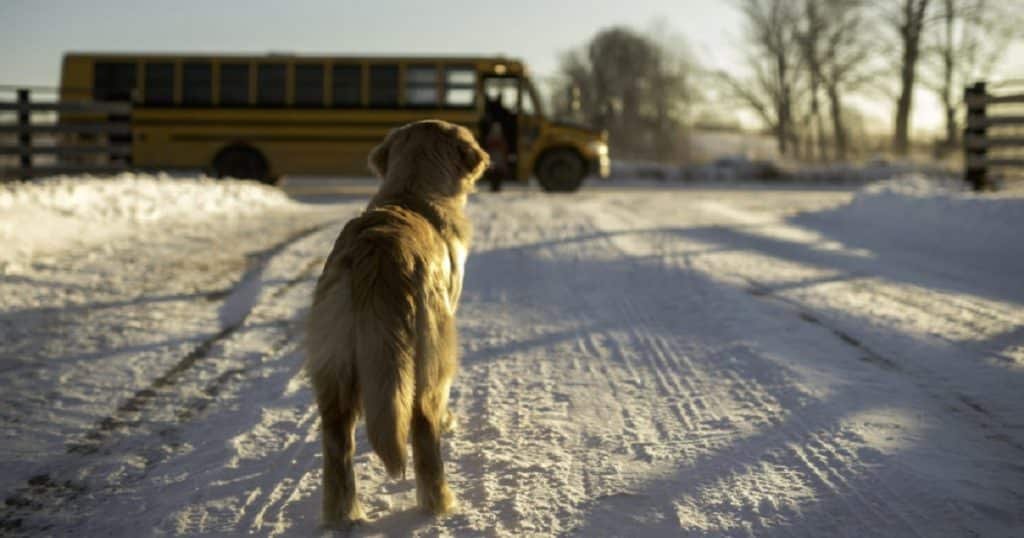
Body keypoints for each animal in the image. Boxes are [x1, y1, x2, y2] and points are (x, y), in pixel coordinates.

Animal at [305, 118, 489, 524]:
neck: (410, 193)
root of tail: (379, 253)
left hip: (335, 362)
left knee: (337, 441)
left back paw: (344, 515)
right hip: (430, 351)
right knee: (423, 428)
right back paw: (439, 503)